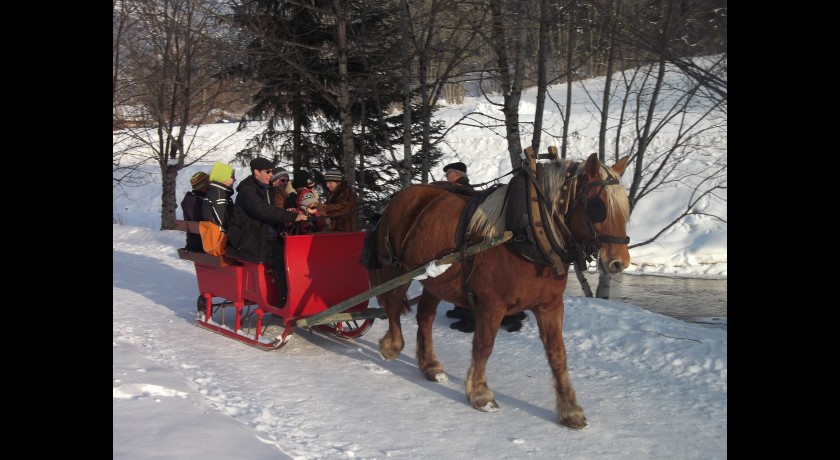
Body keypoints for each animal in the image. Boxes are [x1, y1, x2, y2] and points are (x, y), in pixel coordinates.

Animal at [368, 153, 632, 430]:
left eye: (625, 207)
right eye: (598, 205)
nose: (620, 262)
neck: (531, 231)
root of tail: (403, 195)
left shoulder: (549, 306)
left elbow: (558, 355)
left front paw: (570, 409)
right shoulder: (491, 304)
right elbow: (483, 346)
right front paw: (480, 394)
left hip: (434, 279)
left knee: (425, 317)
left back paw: (429, 365)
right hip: (397, 269)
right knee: (393, 306)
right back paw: (392, 345)